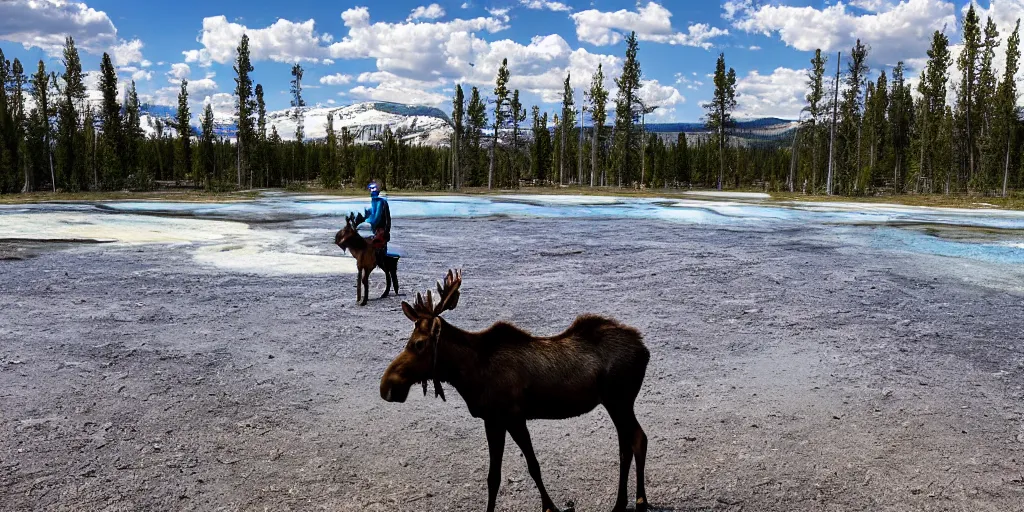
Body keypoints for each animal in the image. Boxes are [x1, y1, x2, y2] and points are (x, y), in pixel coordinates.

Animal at [380, 270, 651, 509]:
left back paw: (640, 501)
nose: (387, 386)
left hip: (619, 400)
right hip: (615, 403)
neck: (469, 374)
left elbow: (533, 467)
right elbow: (493, 477)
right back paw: (620, 504)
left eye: (418, 343)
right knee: (625, 446)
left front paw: (550, 507)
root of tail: (644, 349)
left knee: (638, 439)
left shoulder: (513, 417)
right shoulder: (492, 420)